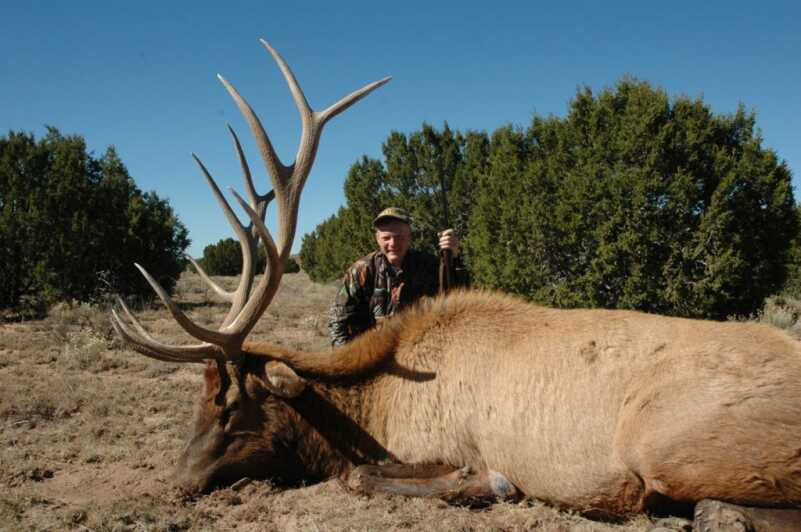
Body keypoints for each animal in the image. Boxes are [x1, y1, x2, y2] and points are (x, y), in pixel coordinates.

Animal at [112, 40, 801, 531]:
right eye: (196, 401)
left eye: (228, 404)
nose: (177, 480)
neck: (374, 402)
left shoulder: (442, 442)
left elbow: (364, 475)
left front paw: (485, 483)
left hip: (666, 443)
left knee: (715, 506)